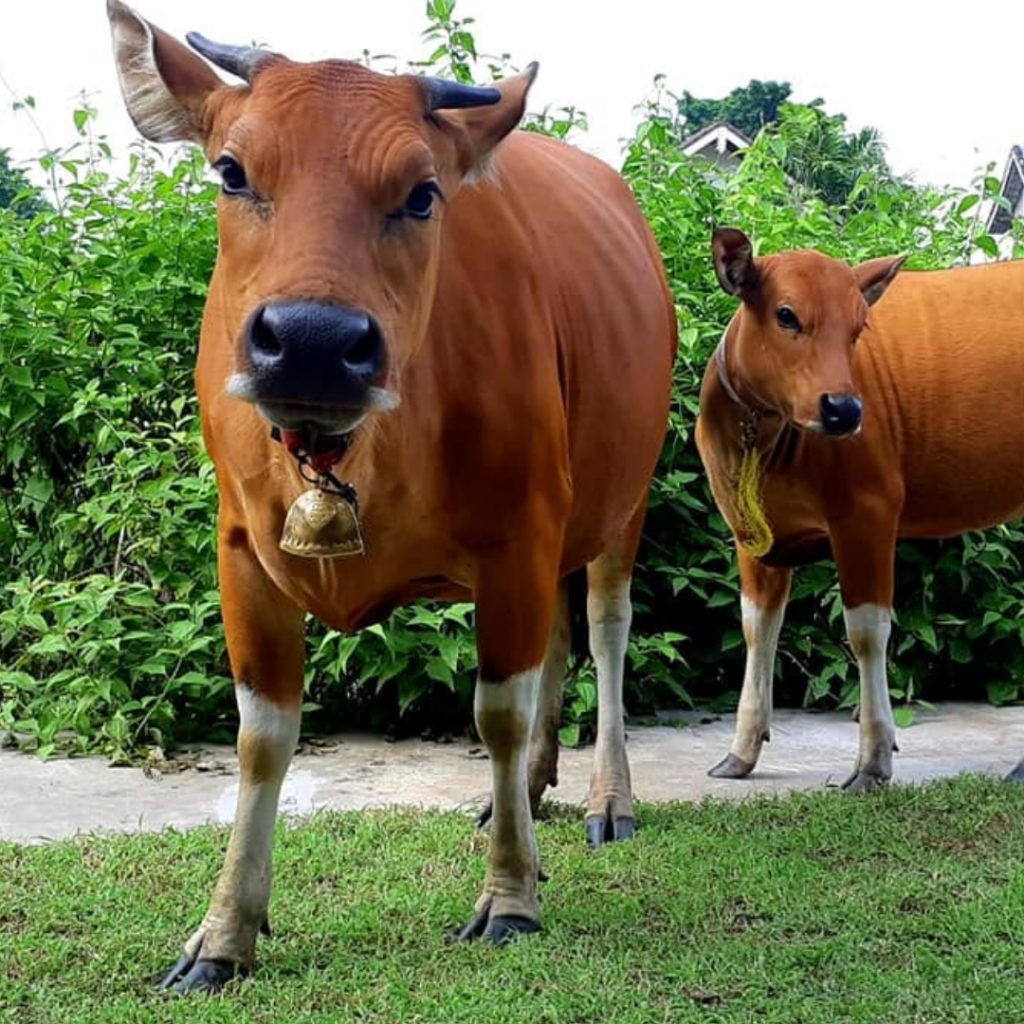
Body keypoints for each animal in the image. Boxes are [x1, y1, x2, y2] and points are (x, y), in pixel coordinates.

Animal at [107, 0, 676, 993]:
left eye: (422, 193)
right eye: (232, 170)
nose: (311, 340)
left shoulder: (518, 535)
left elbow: (495, 712)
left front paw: (510, 897)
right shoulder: (240, 551)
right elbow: (263, 738)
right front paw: (223, 934)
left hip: (622, 498)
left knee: (605, 633)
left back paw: (608, 798)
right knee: (560, 647)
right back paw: (528, 797)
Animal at [696, 227, 1024, 792]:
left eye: (858, 327)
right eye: (786, 314)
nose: (843, 409)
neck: (766, 441)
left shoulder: (867, 514)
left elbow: (867, 633)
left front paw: (872, 761)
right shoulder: (752, 536)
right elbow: (758, 630)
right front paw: (740, 753)